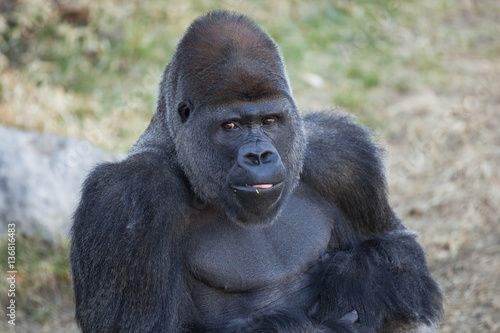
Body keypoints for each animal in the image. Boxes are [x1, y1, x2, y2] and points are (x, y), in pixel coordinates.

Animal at [69, 10, 442, 332]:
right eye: (230, 126)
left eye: (269, 121)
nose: (260, 155)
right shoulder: (127, 197)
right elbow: (147, 328)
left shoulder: (343, 155)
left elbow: (400, 246)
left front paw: (360, 279)